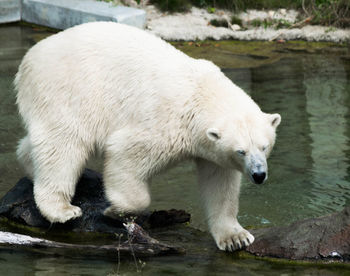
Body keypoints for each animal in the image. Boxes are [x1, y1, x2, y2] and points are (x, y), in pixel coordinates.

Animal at [15, 22, 280, 250]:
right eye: (241, 151)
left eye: (264, 146)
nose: (259, 175)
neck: (200, 94)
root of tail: (28, 59)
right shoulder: (165, 121)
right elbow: (125, 154)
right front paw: (115, 211)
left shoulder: (213, 151)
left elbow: (220, 184)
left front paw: (236, 238)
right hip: (67, 90)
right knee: (63, 144)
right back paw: (62, 210)